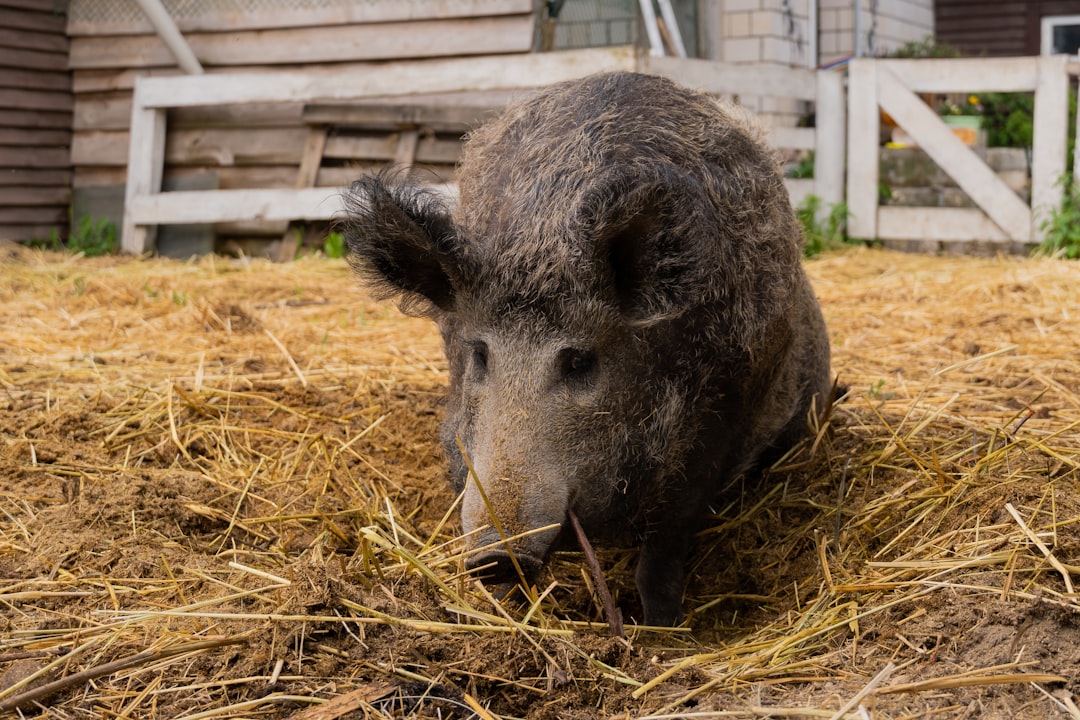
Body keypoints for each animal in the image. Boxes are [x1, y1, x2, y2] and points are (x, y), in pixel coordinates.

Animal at [341, 70, 829, 626]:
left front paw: (662, 627)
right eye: (479, 353)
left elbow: (664, 549)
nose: (497, 556)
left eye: (580, 360)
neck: (539, 241)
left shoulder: (722, 413)